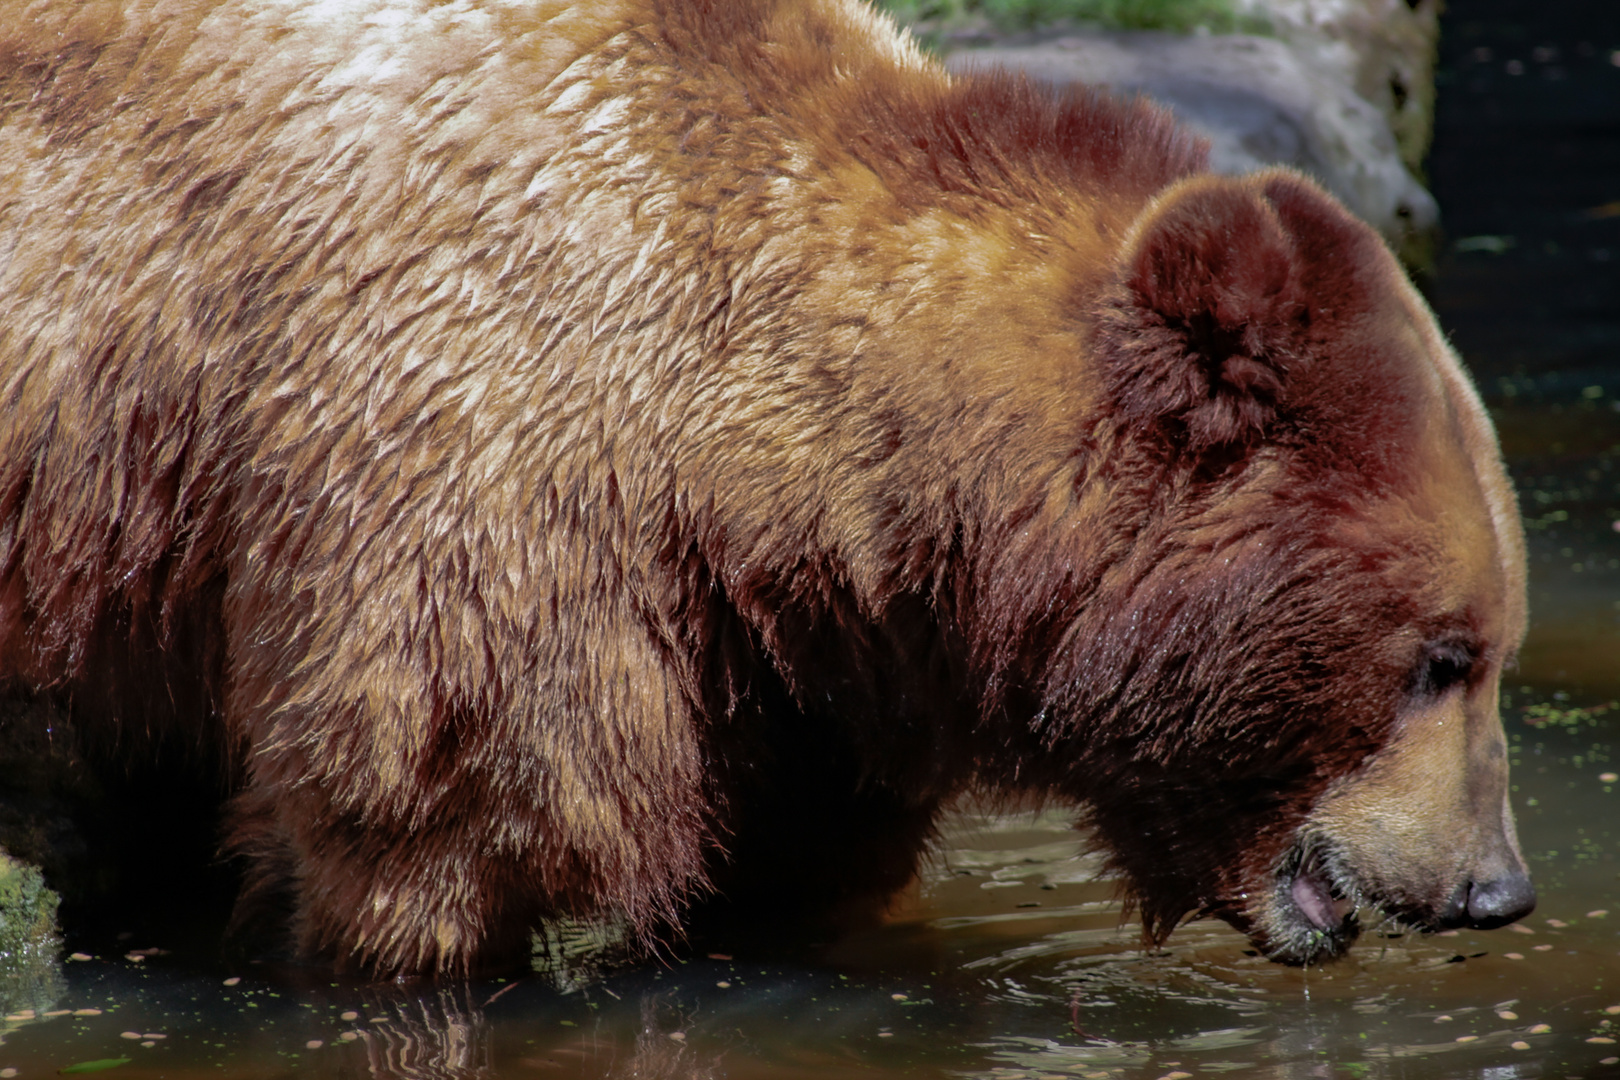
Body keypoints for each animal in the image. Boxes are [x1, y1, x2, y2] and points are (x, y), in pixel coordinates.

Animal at [0, 0, 1529, 977]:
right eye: (1441, 656)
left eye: (1494, 644)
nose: (1496, 887)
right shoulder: (461, 475)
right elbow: (437, 846)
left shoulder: (795, 663)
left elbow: (792, 870)